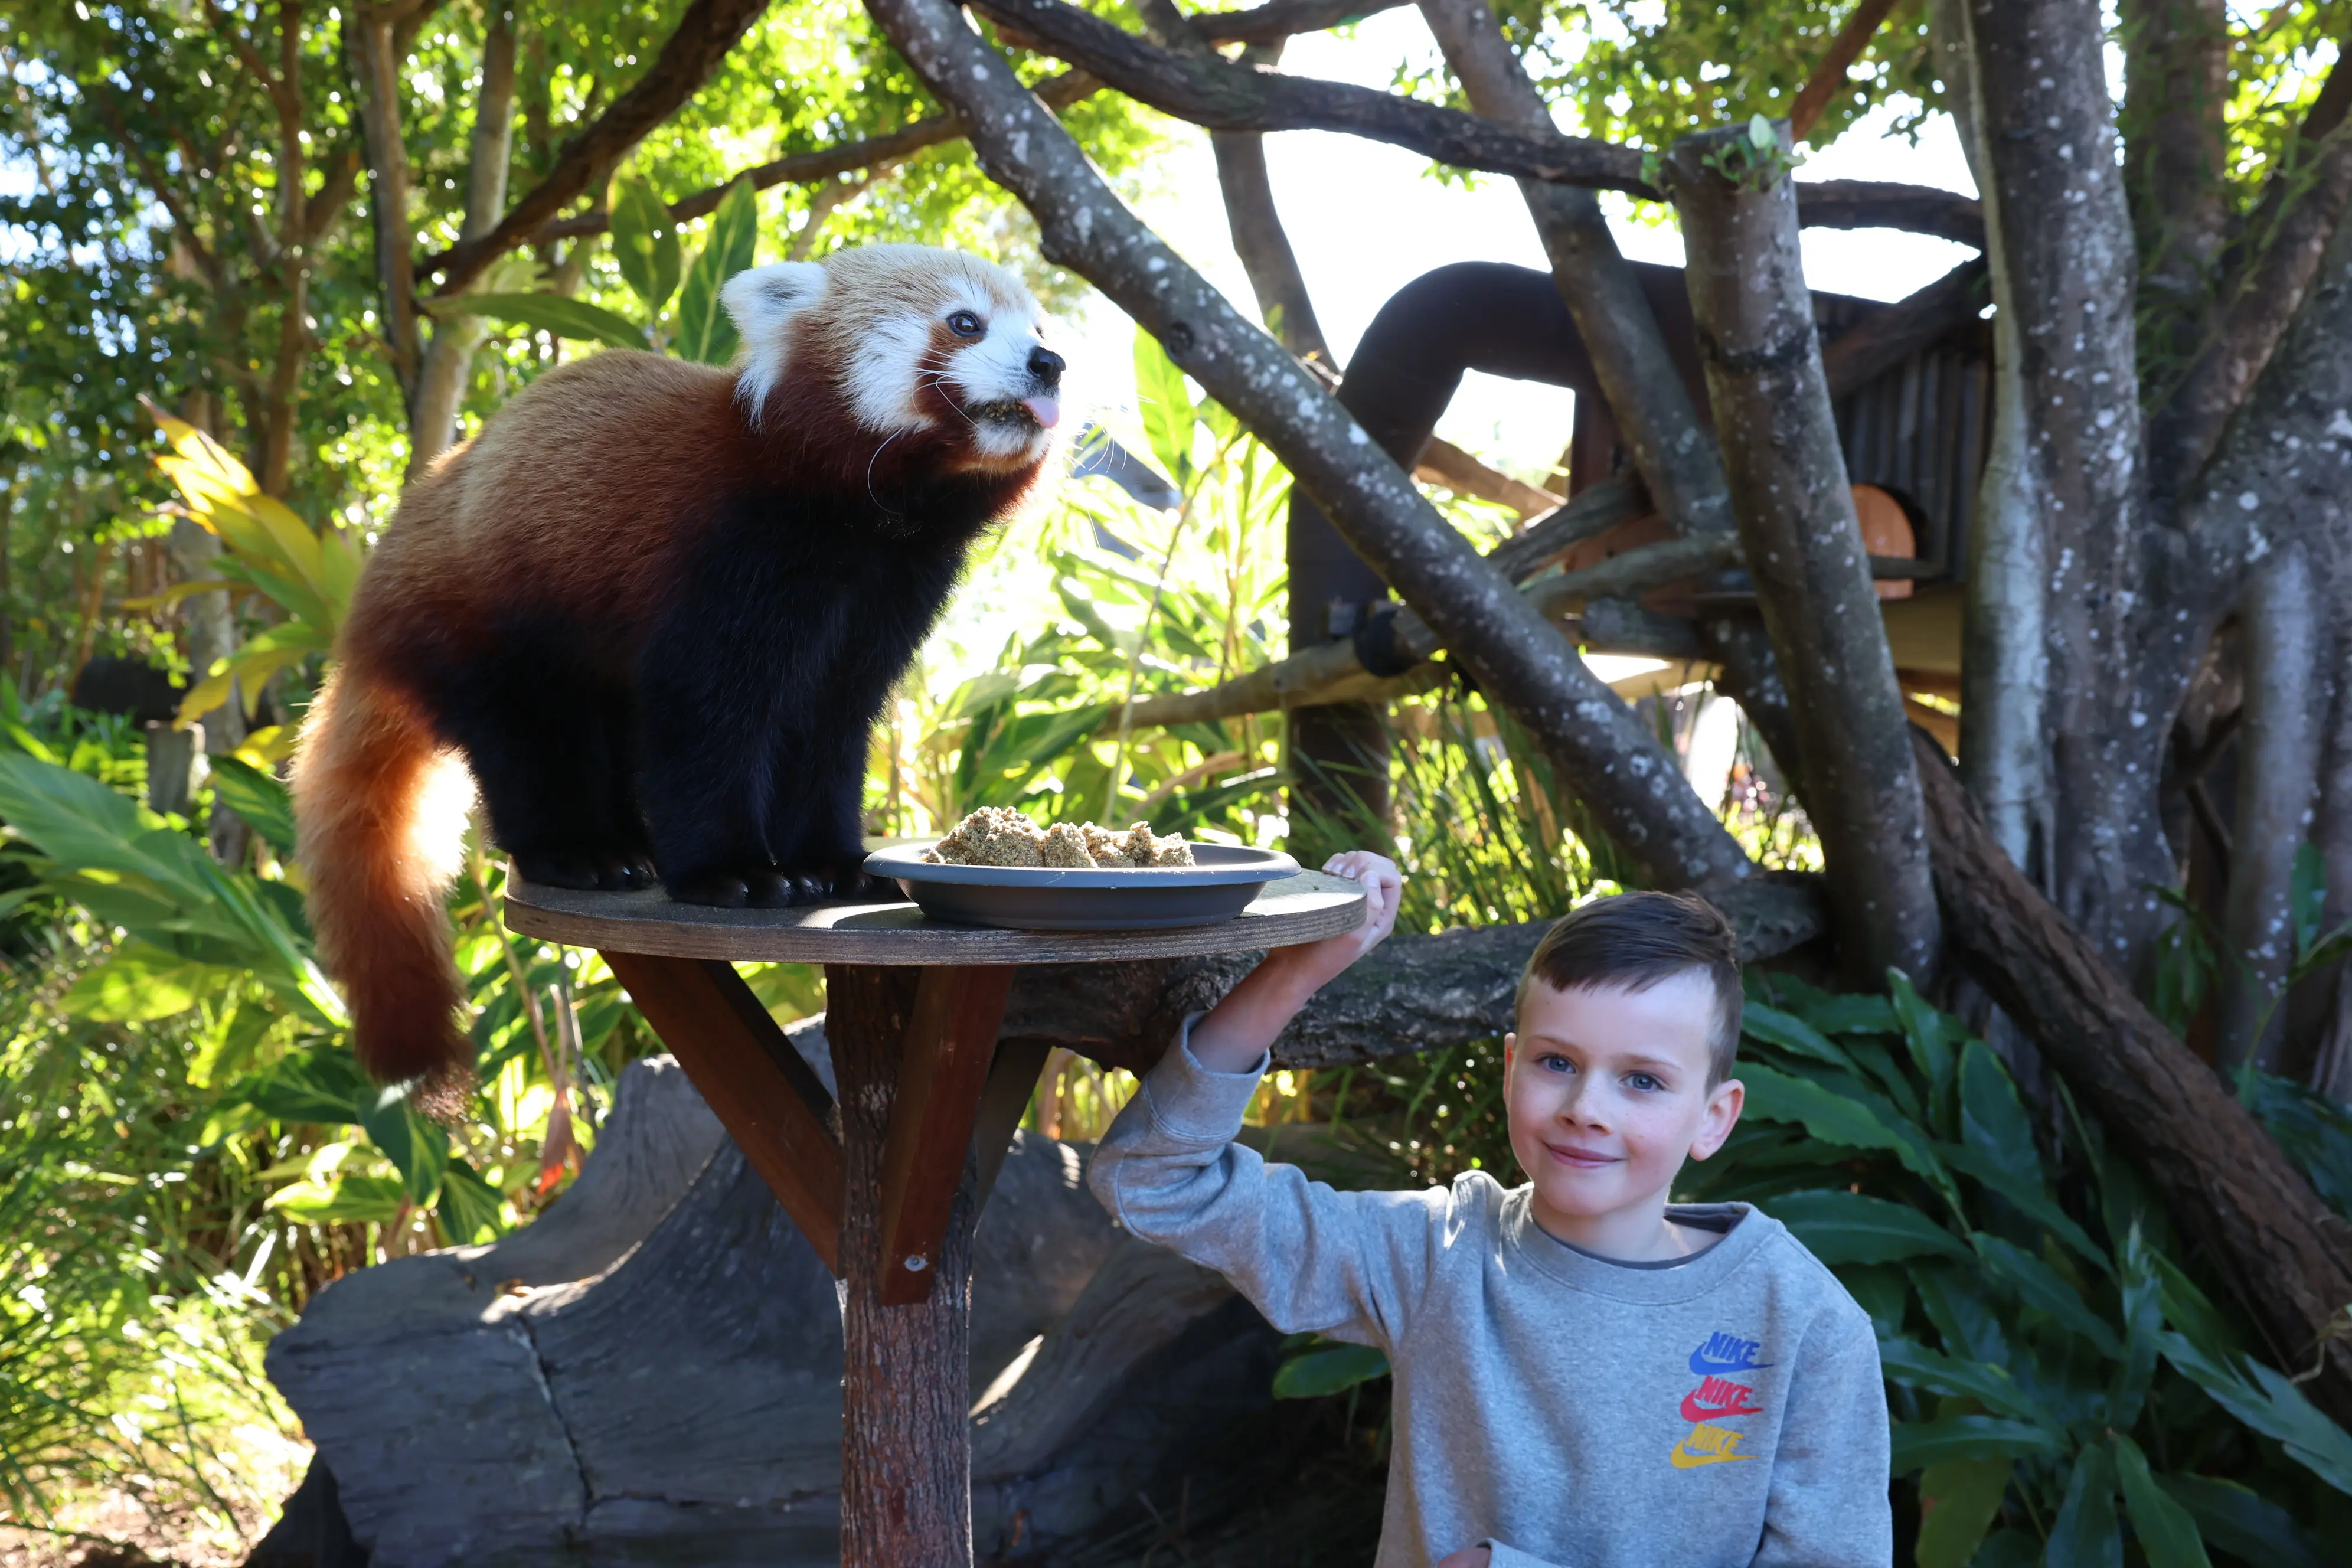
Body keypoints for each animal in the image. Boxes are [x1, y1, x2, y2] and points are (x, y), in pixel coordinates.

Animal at [289, 251, 1063, 1100]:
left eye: (1041, 326)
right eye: (966, 323)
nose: (1051, 363)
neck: (868, 518)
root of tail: (370, 605)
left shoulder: (889, 591)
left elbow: (828, 726)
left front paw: (831, 865)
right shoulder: (728, 554)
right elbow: (706, 718)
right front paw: (736, 874)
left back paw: (633, 845)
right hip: (486, 626)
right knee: (536, 742)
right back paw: (582, 854)